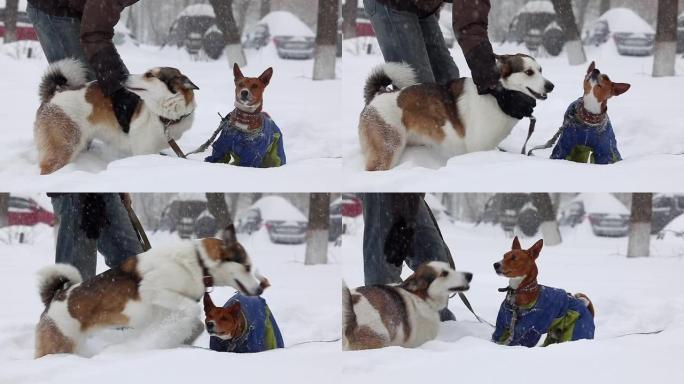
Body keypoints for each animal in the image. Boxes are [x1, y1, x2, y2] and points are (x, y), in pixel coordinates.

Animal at [33, 58, 198, 174]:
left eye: (149, 75)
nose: (123, 76)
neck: (163, 117)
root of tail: (53, 96)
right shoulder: (143, 151)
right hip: (65, 147)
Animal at [34, 225, 268, 356]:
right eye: (247, 267)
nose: (259, 288)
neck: (198, 262)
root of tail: (55, 298)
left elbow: (198, 324)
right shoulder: (153, 290)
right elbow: (191, 310)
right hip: (61, 342)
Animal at [358, 55, 556, 171]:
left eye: (540, 70)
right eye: (529, 72)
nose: (551, 86)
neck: (499, 96)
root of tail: (377, 96)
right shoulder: (478, 147)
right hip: (389, 147)